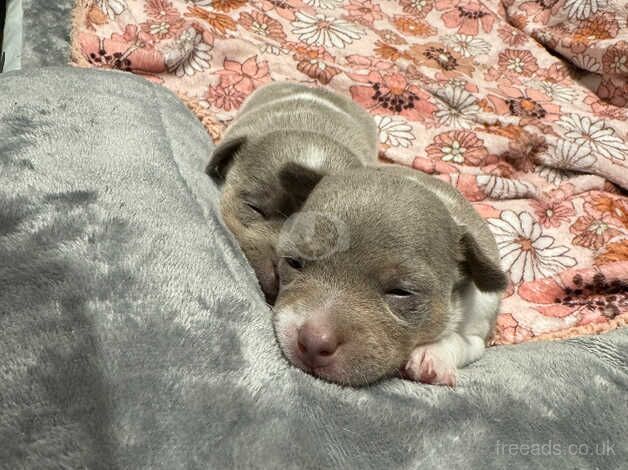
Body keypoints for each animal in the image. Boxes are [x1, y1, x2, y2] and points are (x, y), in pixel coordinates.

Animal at [272, 165, 508, 386]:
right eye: (294, 262)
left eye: (401, 291)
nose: (313, 342)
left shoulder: (478, 331)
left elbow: (460, 340)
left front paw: (433, 355)